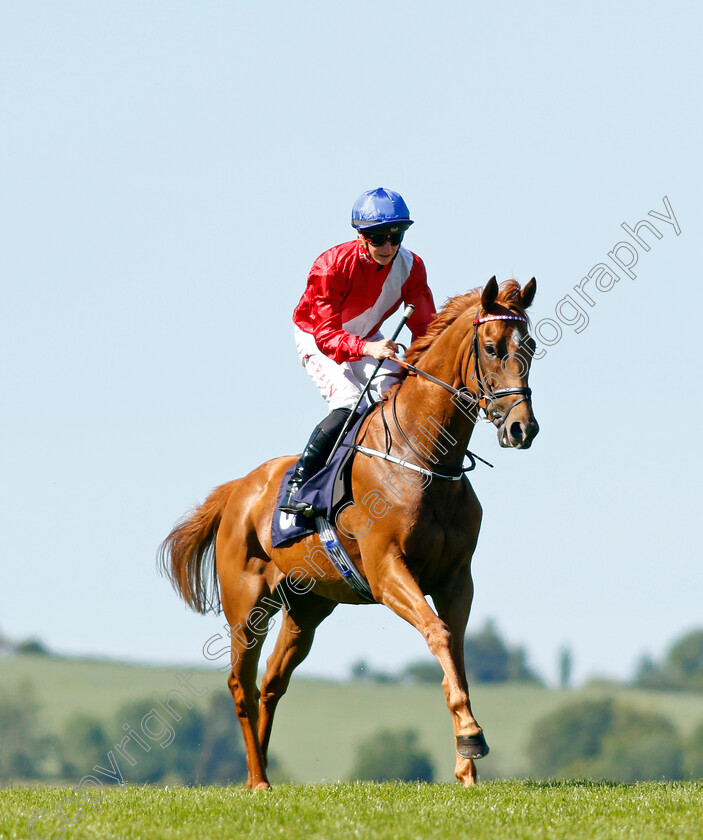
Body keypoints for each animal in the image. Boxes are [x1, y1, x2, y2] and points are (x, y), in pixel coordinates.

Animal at [160, 276, 540, 788]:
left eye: (531, 347)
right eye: (492, 346)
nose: (523, 428)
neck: (423, 458)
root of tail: (239, 489)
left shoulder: (457, 578)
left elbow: (456, 652)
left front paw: (466, 764)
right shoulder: (387, 572)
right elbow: (438, 634)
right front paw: (470, 736)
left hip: (307, 607)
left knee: (271, 683)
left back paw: (261, 770)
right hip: (247, 604)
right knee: (241, 682)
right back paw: (257, 779)